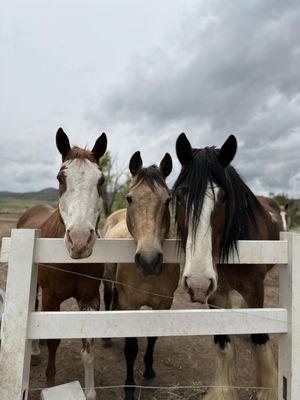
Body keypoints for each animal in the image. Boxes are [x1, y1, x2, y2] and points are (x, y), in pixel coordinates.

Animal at [17, 128, 107, 400]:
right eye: (60, 178)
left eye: (101, 180)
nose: (79, 240)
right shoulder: (51, 298)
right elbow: (53, 341)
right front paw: (49, 385)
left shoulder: (90, 299)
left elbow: (88, 348)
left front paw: (90, 392)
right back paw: (35, 352)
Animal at [103, 151, 179, 400]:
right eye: (129, 198)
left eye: (168, 200)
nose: (148, 260)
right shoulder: (130, 303)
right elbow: (131, 348)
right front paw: (129, 387)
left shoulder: (164, 304)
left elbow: (152, 338)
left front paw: (148, 370)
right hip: (108, 282)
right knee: (108, 301)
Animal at [172, 134, 282, 400]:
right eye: (179, 196)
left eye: (223, 198)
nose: (198, 283)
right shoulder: (218, 292)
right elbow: (224, 343)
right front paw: (222, 392)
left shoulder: (255, 288)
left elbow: (260, 337)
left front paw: (268, 390)